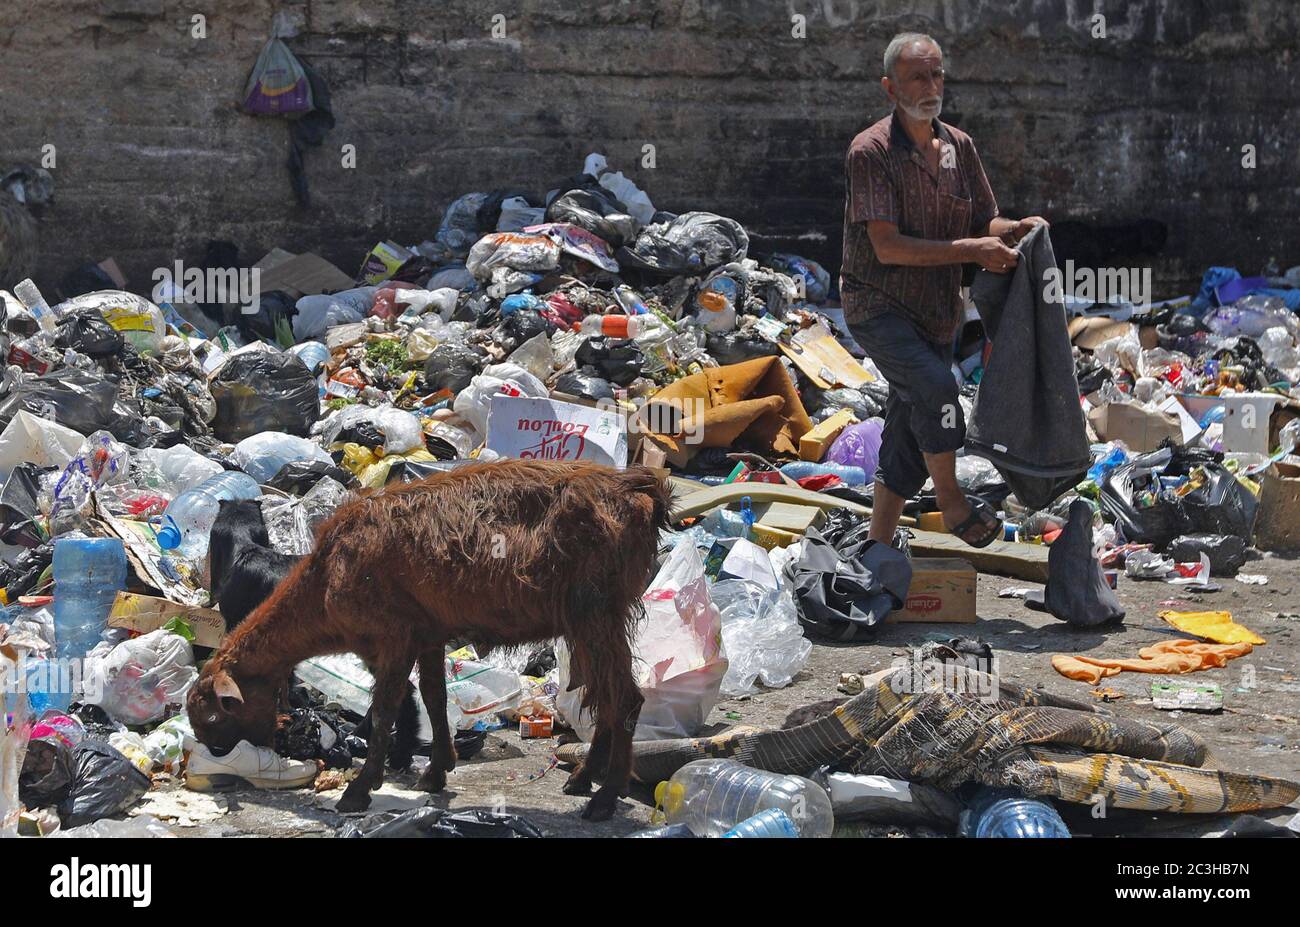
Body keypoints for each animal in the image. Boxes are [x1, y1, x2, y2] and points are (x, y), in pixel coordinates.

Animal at [188, 455, 676, 816]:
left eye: (214, 714)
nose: (218, 752)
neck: (327, 575)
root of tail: (639, 489)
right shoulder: (428, 633)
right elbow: (433, 696)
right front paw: (437, 769)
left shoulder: (394, 635)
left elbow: (387, 706)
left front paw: (360, 788)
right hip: (587, 622)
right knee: (602, 697)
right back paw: (582, 778)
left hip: (597, 613)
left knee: (625, 700)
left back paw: (604, 797)